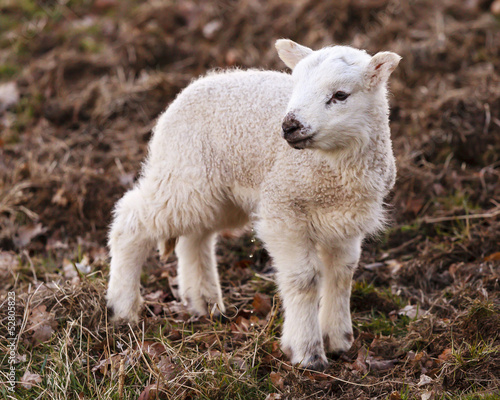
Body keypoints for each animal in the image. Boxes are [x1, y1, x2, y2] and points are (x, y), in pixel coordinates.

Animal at [107, 39, 400, 370]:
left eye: (340, 95)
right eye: (295, 85)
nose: (289, 125)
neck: (334, 169)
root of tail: (193, 86)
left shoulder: (346, 219)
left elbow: (342, 274)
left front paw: (339, 341)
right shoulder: (283, 209)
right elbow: (304, 279)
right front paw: (307, 352)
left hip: (217, 195)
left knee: (195, 237)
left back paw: (205, 303)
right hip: (183, 174)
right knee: (131, 220)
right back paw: (123, 308)